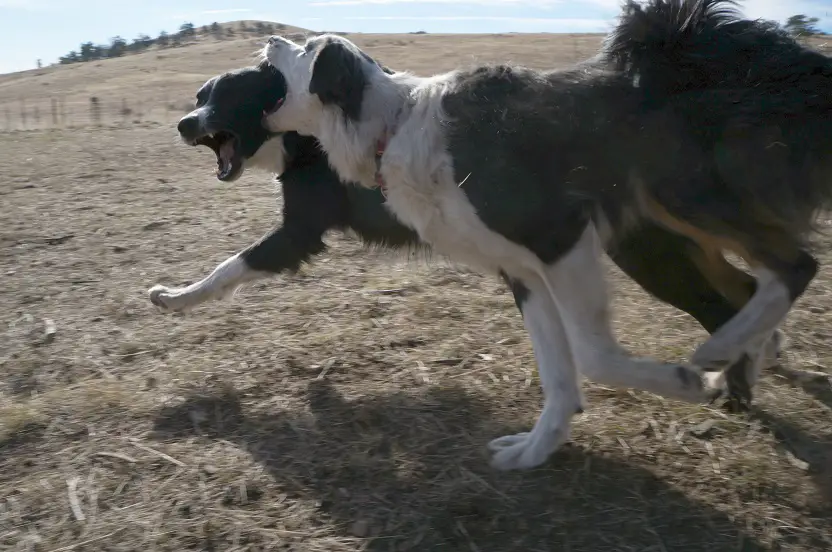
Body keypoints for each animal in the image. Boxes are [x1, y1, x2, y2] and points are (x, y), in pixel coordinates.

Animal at [146, 55, 784, 470]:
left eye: (225, 95)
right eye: (199, 95)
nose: (183, 123)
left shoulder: (297, 234)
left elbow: (226, 269)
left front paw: (175, 298)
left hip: (647, 253)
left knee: (724, 301)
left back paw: (735, 379)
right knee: (743, 286)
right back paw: (760, 354)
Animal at [254, 0, 832, 468]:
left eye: (307, 47)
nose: (273, 37)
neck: (394, 126)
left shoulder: (559, 238)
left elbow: (593, 356)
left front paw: (682, 384)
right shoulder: (523, 271)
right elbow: (556, 373)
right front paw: (536, 449)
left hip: (679, 197)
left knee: (795, 266)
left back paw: (721, 351)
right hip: (666, 230)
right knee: (750, 285)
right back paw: (744, 361)